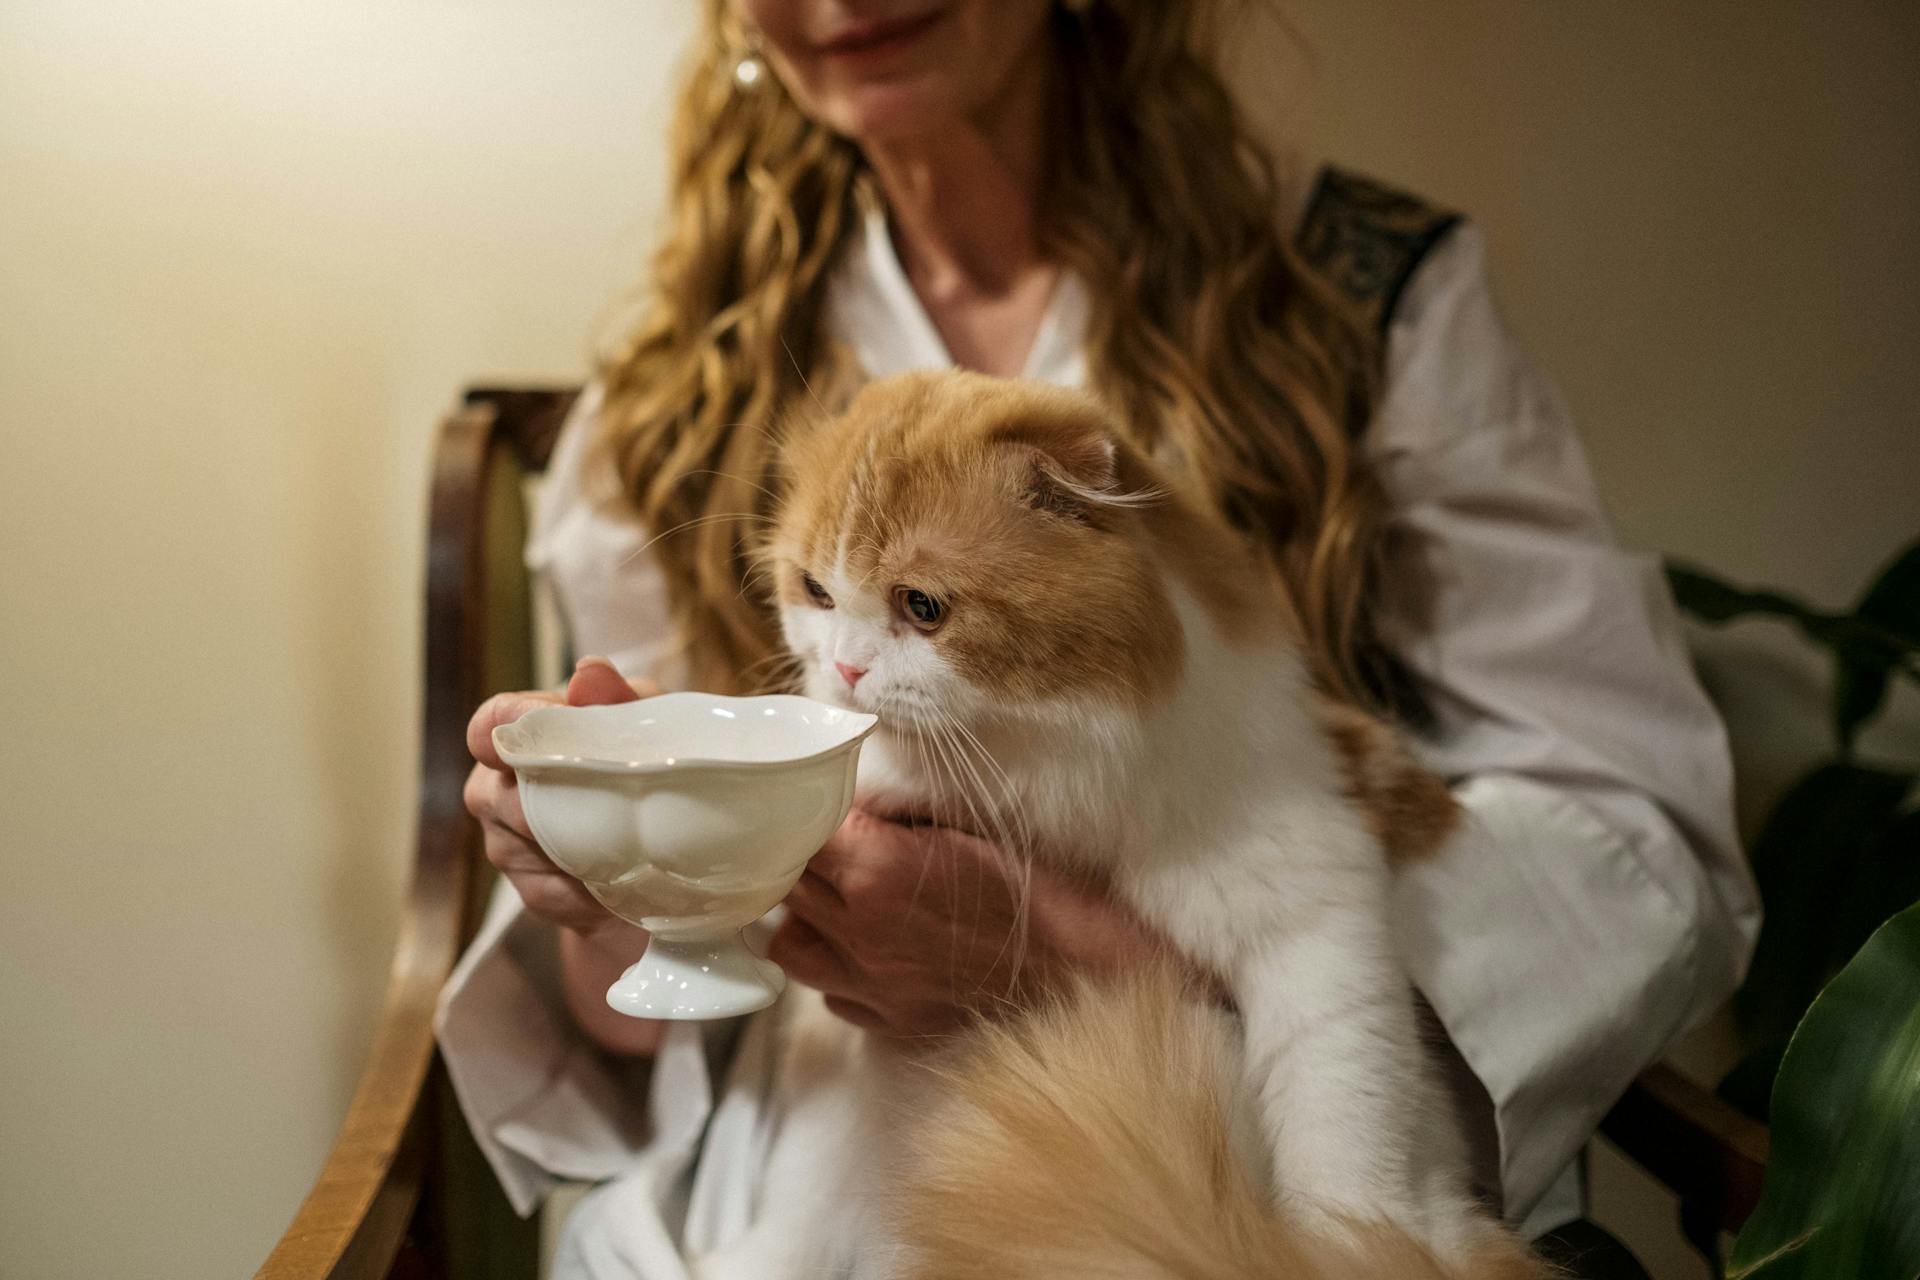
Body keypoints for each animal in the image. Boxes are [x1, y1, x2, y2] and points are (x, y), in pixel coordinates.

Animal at [706, 370, 1543, 1280]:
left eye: (922, 606)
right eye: (816, 592)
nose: (846, 668)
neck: (1038, 770)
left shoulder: (1314, 917)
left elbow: (1344, 1136)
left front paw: (1347, 1247)